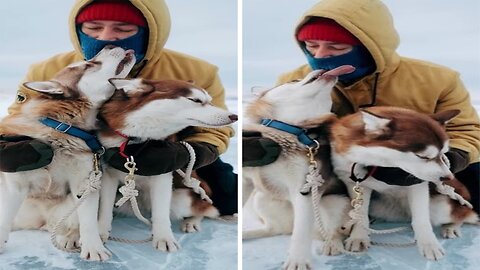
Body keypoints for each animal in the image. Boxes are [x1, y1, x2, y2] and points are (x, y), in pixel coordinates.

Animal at [0, 45, 135, 260]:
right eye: (88, 65)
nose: (109, 45)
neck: (63, 128)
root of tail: (42, 221)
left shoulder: (86, 183)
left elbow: (88, 223)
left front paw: (93, 248)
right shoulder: (16, 184)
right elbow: (4, 218)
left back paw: (71, 236)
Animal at [96, 77, 238, 251]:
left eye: (210, 100)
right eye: (196, 100)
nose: (234, 116)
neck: (136, 142)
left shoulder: (162, 172)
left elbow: (161, 213)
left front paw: (164, 237)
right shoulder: (108, 175)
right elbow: (105, 208)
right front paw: (100, 232)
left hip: (183, 199)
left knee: (206, 209)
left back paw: (191, 221)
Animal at [244, 66, 352, 270]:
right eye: (294, 80)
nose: (325, 67)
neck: (288, 131)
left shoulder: (305, 189)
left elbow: (300, 234)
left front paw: (297, 261)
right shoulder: (246, 179)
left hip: (333, 202)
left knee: (332, 232)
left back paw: (332, 244)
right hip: (262, 198)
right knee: (273, 229)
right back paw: (247, 234)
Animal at [332, 106, 478, 260]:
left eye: (443, 154)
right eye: (423, 156)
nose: (448, 177)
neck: (377, 165)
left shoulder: (417, 183)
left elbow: (421, 219)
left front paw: (429, 244)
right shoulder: (356, 183)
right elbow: (360, 214)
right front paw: (358, 236)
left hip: (442, 207)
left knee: (465, 213)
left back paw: (451, 227)